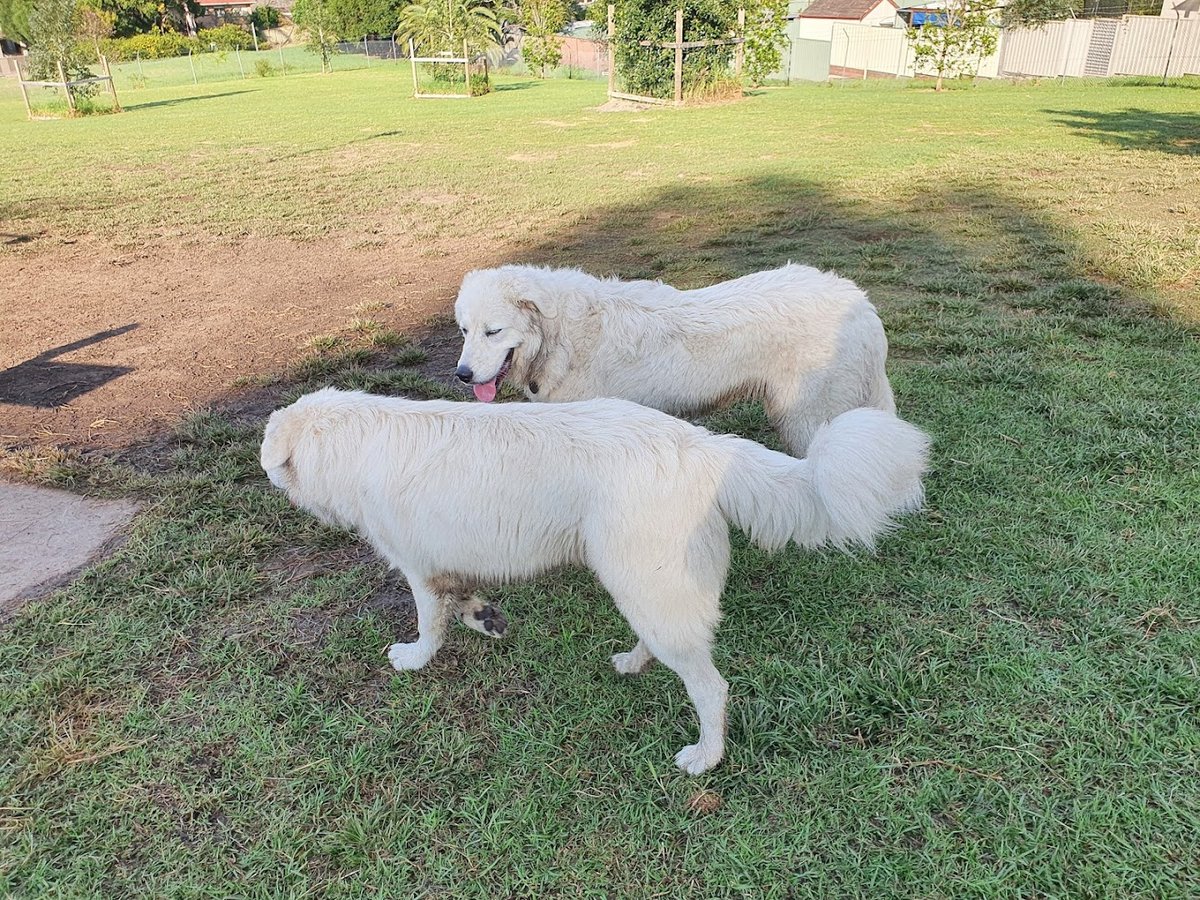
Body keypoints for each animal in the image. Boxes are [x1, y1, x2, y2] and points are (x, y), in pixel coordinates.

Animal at [261, 388, 929, 773]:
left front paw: (415, 658)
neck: (352, 439)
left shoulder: (417, 566)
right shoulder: (448, 564)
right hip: (644, 586)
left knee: (711, 688)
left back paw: (705, 757)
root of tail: (706, 446)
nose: (269, 478)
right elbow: (465, 601)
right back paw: (633, 663)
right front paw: (485, 619)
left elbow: (429, 623)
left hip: (643, 584)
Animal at [453, 263, 896, 456]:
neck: (559, 333)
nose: (463, 375)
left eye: (493, 331)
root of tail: (861, 301)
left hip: (808, 415)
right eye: (464, 330)